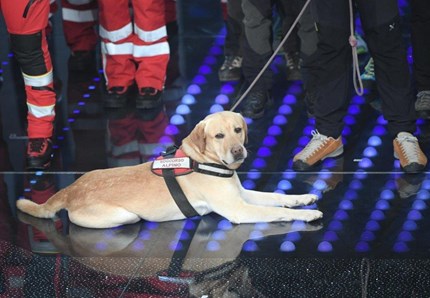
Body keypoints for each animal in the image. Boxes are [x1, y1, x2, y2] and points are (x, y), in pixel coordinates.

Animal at [16, 110, 322, 227]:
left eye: (238, 130)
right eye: (219, 136)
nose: (238, 151)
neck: (203, 160)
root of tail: (69, 190)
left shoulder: (243, 195)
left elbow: (277, 197)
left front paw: (303, 199)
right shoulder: (240, 210)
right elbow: (276, 211)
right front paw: (307, 215)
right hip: (126, 217)